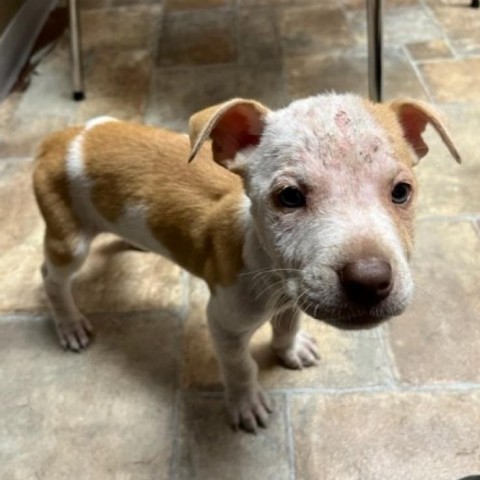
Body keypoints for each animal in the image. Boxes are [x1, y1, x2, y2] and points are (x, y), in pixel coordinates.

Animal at [33, 94, 462, 432]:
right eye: (289, 197)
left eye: (401, 191)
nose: (370, 280)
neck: (267, 268)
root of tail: (59, 139)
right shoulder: (224, 321)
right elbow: (240, 366)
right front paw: (246, 403)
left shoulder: (292, 292)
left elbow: (287, 325)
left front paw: (290, 350)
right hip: (69, 239)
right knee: (51, 277)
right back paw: (69, 324)